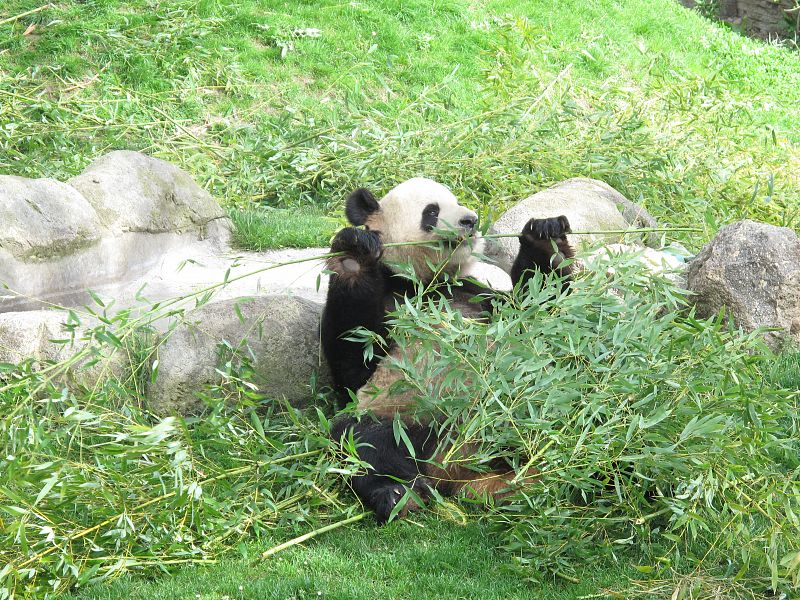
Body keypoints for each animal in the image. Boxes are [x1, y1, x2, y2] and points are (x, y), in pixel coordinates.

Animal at [322, 177, 572, 520]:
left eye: (458, 201)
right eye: (432, 211)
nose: (471, 220)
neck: (426, 283)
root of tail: (456, 469)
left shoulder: (479, 297)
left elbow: (539, 310)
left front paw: (547, 236)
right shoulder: (389, 303)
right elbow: (351, 359)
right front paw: (353, 254)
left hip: (532, 410)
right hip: (405, 418)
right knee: (365, 439)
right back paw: (398, 495)